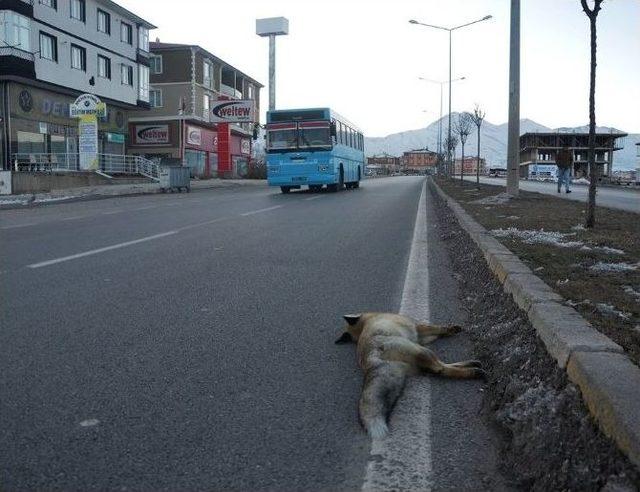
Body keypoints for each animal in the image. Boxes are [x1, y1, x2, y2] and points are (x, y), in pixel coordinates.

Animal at [336, 312, 484, 438]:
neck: (366, 322)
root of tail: (369, 360)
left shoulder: (422, 338)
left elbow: (438, 332)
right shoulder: (418, 329)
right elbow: (438, 328)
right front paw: (452, 329)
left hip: (421, 355)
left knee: (440, 368)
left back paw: (472, 364)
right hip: (422, 350)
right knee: (440, 368)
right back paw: (473, 371)